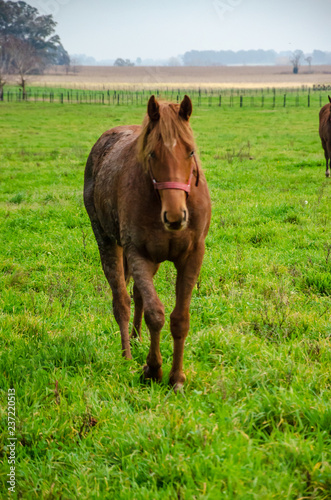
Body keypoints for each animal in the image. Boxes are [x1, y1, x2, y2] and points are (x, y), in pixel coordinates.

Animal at [84, 94, 211, 390]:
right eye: (152, 154)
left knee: (137, 295)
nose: (175, 216)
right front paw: (153, 369)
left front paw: (177, 377)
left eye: (190, 152)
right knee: (122, 301)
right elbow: (156, 314)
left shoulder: (191, 257)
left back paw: (136, 338)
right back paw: (127, 354)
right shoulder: (137, 253)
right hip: (107, 243)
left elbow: (180, 319)